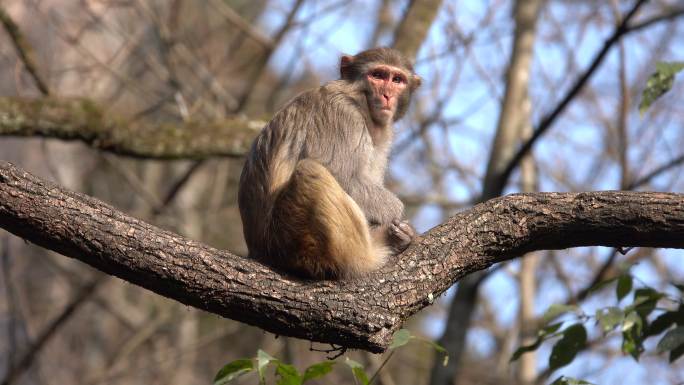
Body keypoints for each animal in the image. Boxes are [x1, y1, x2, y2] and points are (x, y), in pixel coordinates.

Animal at [240, 46, 422, 278]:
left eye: (397, 79)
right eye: (378, 75)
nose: (387, 95)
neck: (360, 101)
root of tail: (259, 252)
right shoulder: (342, 114)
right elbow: (343, 177)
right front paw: (396, 211)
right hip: (289, 239)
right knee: (311, 171)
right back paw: (373, 252)